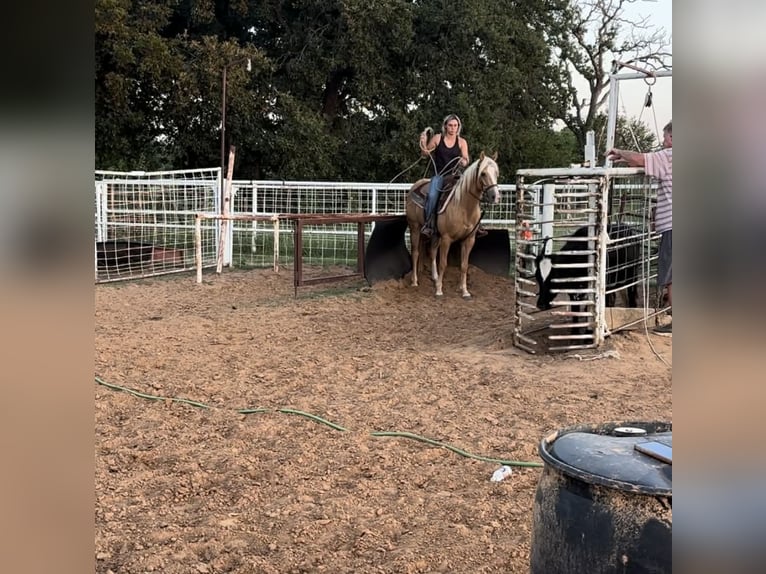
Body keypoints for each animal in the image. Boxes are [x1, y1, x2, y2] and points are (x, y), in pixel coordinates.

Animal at [405, 151, 501, 298]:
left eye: (497, 173)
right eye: (483, 173)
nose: (495, 197)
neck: (463, 206)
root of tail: (415, 186)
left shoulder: (469, 240)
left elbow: (464, 265)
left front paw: (464, 291)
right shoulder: (446, 238)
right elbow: (443, 264)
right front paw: (439, 290)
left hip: (435, 234)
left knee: (432, 252)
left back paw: (434, 277)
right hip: (414, 227)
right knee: (415, 252)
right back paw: (415, 281)